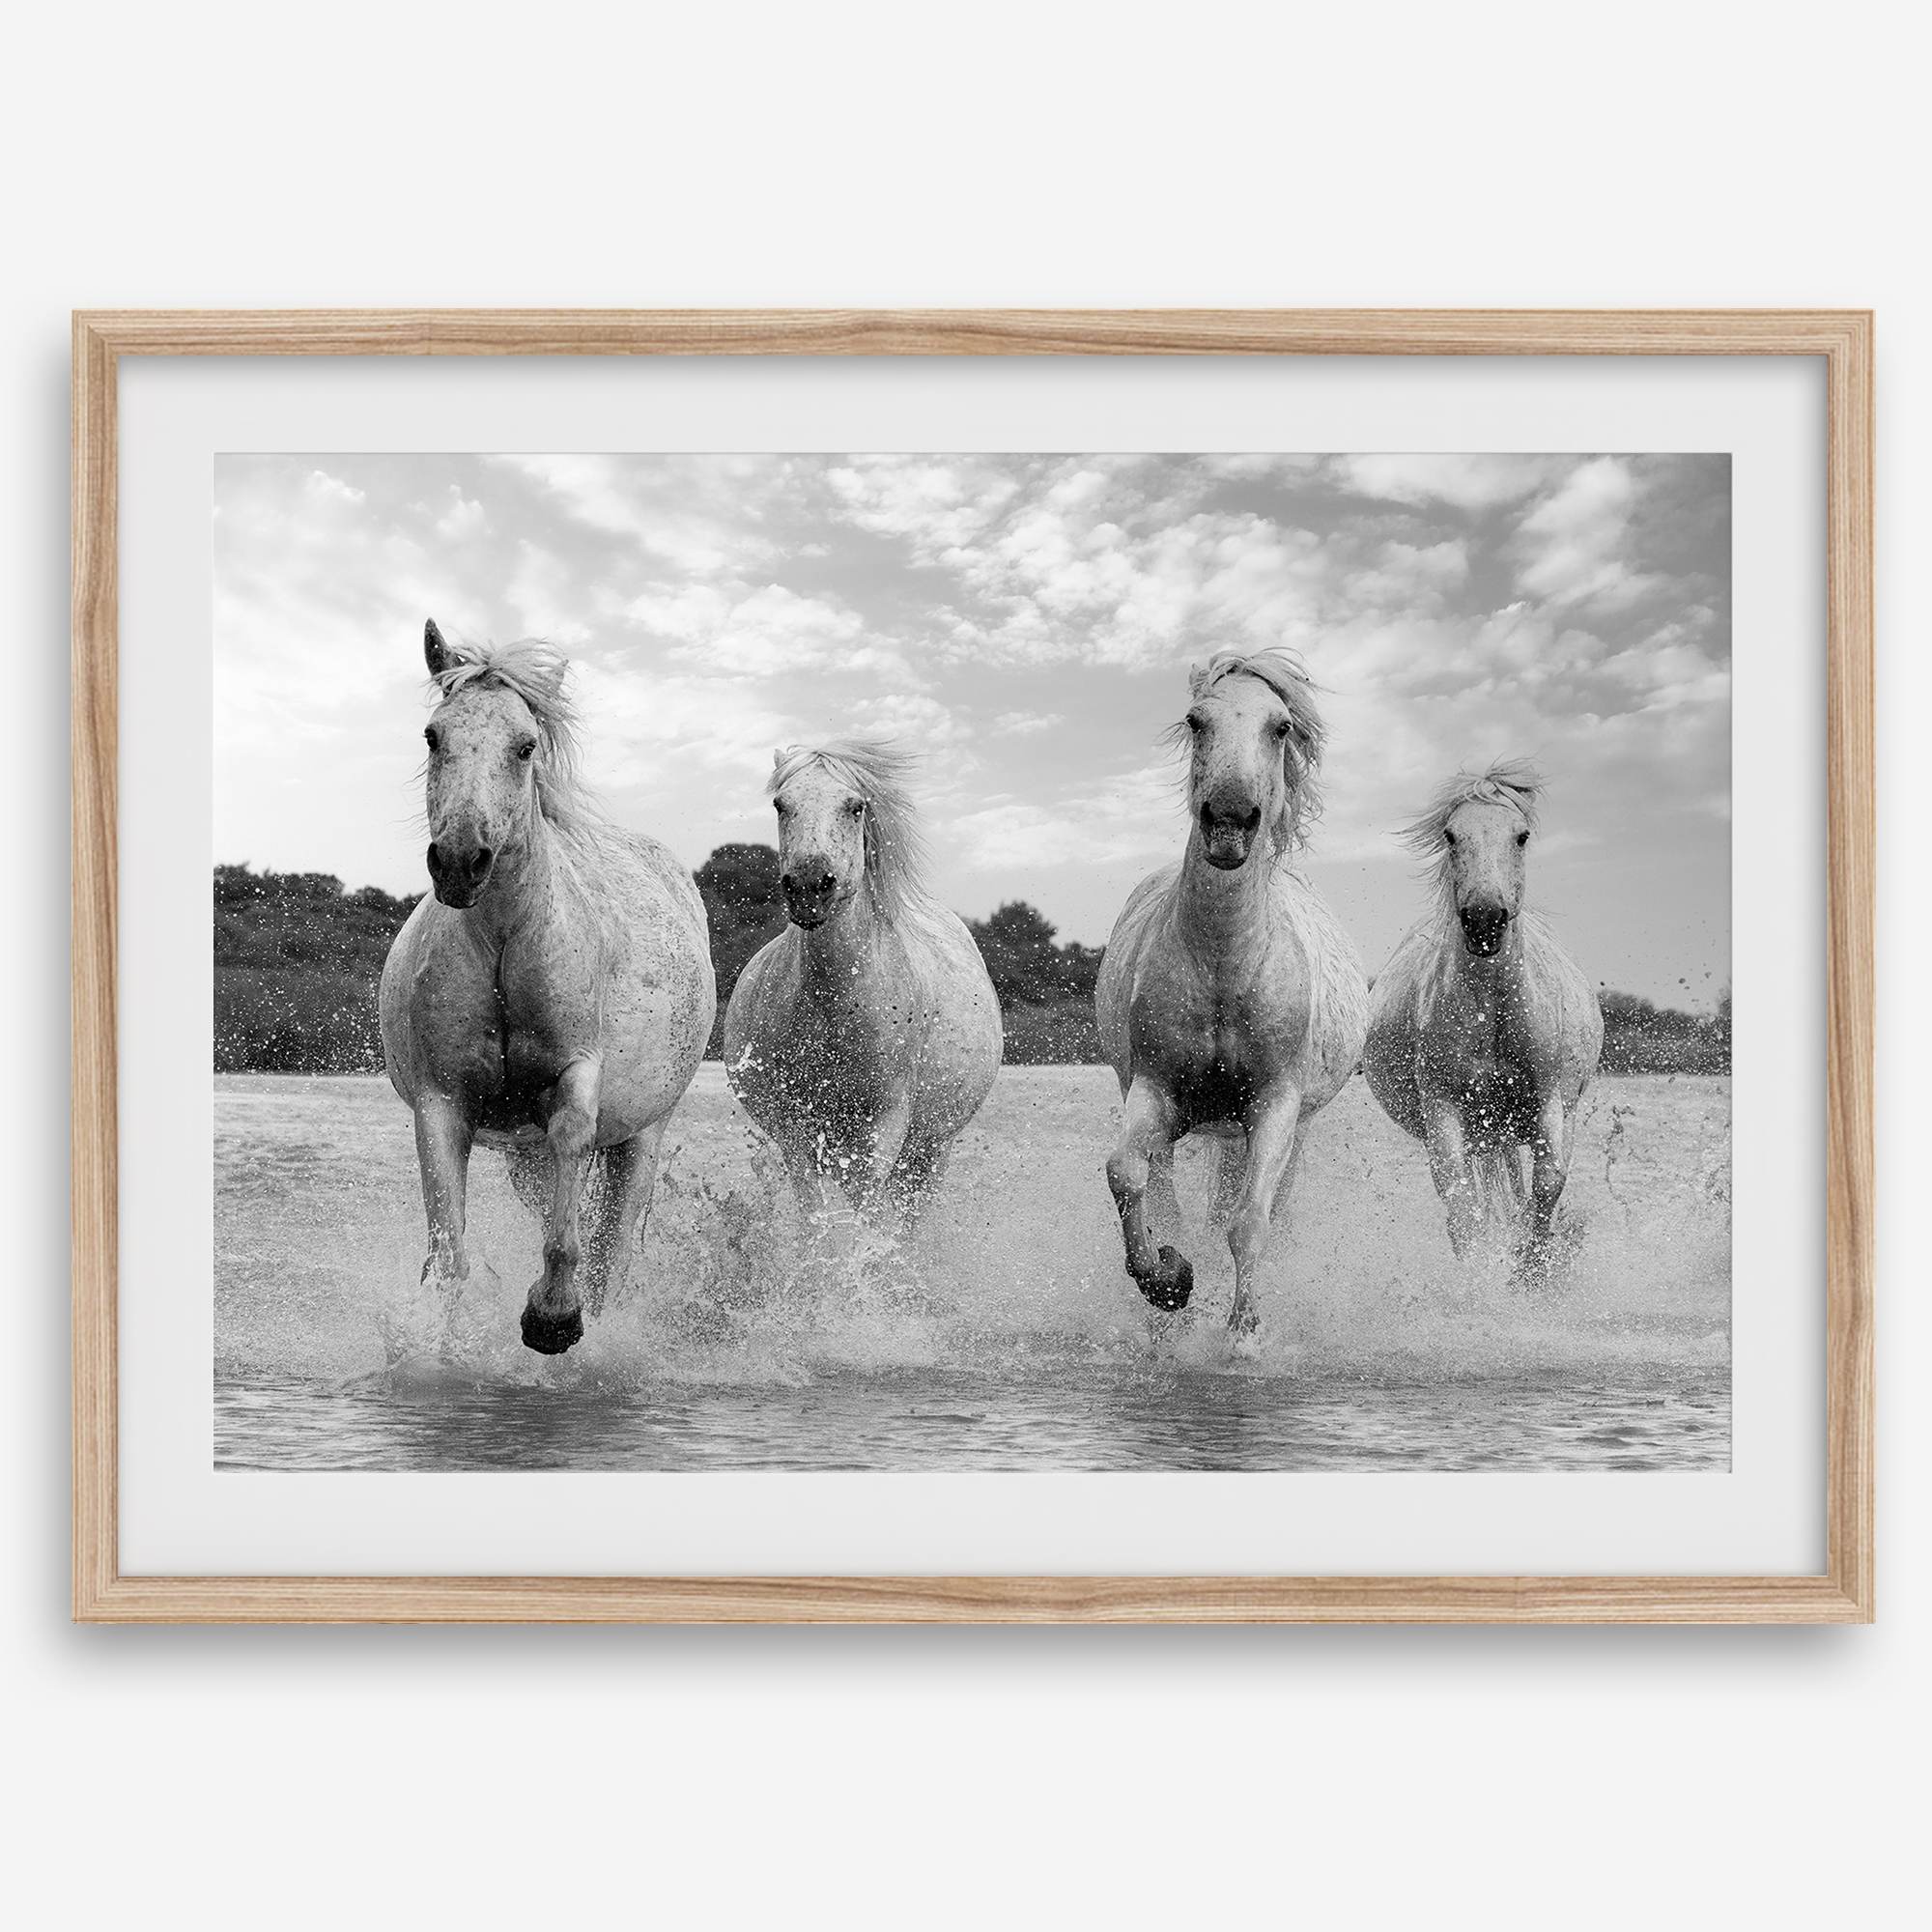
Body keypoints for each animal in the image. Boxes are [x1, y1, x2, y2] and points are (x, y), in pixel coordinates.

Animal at [379, 621, 715, 1355]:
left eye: (525, 745)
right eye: (433, 736)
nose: (460, 862)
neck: (507, 938)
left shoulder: (575, 1078)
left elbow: (571, 1213)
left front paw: (554, 1317)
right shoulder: (442, 1104)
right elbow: (449, 1257)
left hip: (642, 1137)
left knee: (613, 1252)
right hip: (524, 1159)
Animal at [722, 740, 1002, 1232]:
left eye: (855, 807)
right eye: (780, 804)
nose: (809, 886)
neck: (833, 1004)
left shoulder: (885, 1124)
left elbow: (869, 1223)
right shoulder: (797, 1132)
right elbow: (817, 1225)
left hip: (931, 1150)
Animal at [1095, 648, 1369, 1350]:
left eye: (1280, 727)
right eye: (1197, 721)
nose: (1228, 820)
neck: (1224, 966)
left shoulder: (1275, 1106)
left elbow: (1248, 1223)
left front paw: (1243, 1335)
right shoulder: (1155, 1090)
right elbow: (1126, 1174)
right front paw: (1169, 1282)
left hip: (1288, 1128)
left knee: (1260, 1208)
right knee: (1167, 1193)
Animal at [1361, 761, 1603, 1276]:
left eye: (1521, 835)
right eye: (1452, 835)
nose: (1485, 919)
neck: (1495, 1011)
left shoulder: (1553, 1105)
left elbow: (1546, 1188)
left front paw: (1531, 1273)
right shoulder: (1444, 1111)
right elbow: (1463, 1209)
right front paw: (1479, 1284)